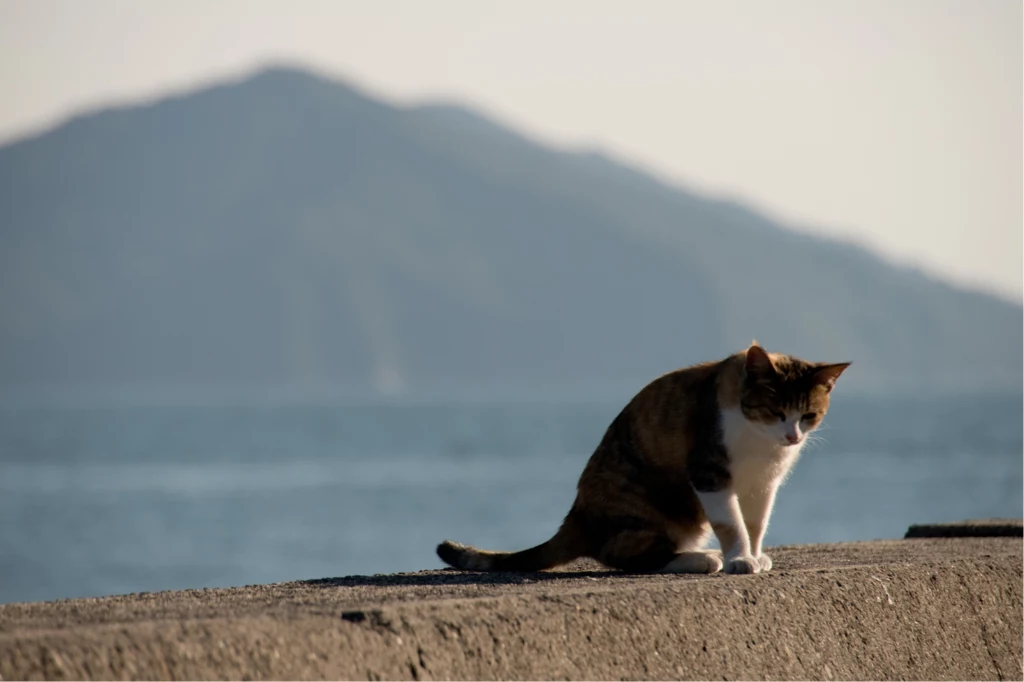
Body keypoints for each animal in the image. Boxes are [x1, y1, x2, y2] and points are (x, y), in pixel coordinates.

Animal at [438, 342, 847, 569]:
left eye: (808, 415)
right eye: (776, 411)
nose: (792, 436)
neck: (759, 442)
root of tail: (577, 516)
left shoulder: (764, 483)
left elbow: (755, 522)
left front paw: (755, 553)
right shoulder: (709, 472)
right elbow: (731, 523)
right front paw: (738, 558)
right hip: (649, 507)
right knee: (623, 555)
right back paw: (701, 559)